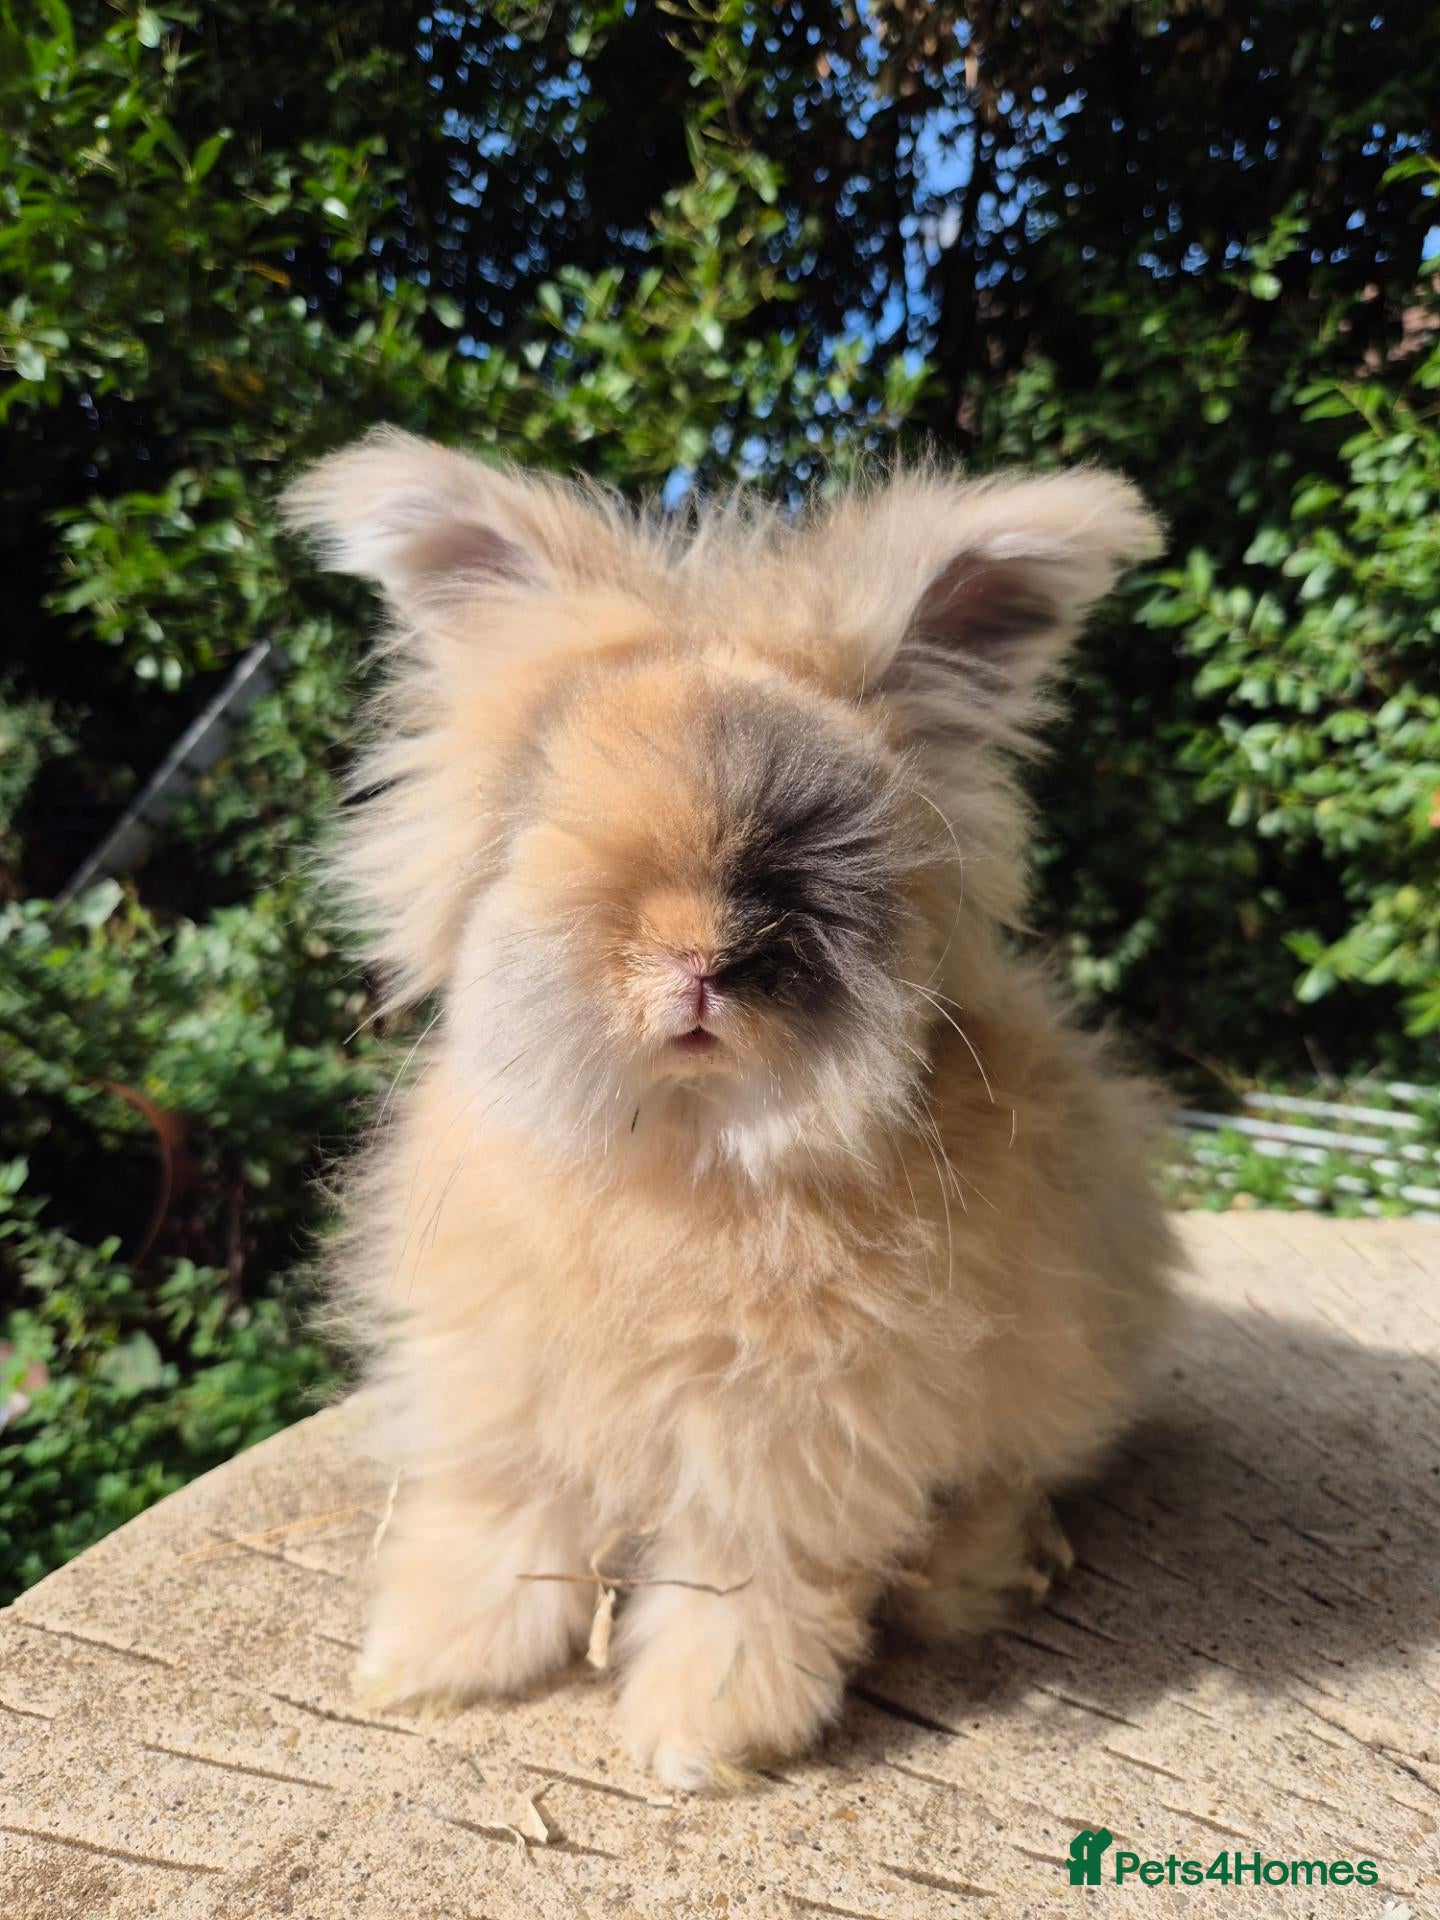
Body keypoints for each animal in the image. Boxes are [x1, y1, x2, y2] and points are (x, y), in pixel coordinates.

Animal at [284, 432, 1178, 1790]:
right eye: (547, 795)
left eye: (837, 828)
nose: (697, 955)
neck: (683, 1151)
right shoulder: (514, 1402)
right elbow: (499, 1530)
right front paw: (426, 1669)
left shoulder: (785, 1452)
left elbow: (740, 1590)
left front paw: (696, 1749)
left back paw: (974, 1577)